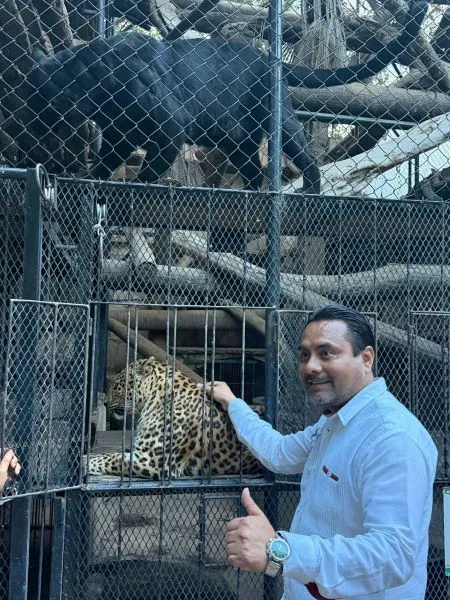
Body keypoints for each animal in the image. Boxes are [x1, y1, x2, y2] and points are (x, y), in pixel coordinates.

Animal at [88, 356, 263, 479]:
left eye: (117, 385)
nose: (104, 402)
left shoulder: (151, 460)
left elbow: (113, 459)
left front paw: (86, 461)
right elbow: (112, 454)